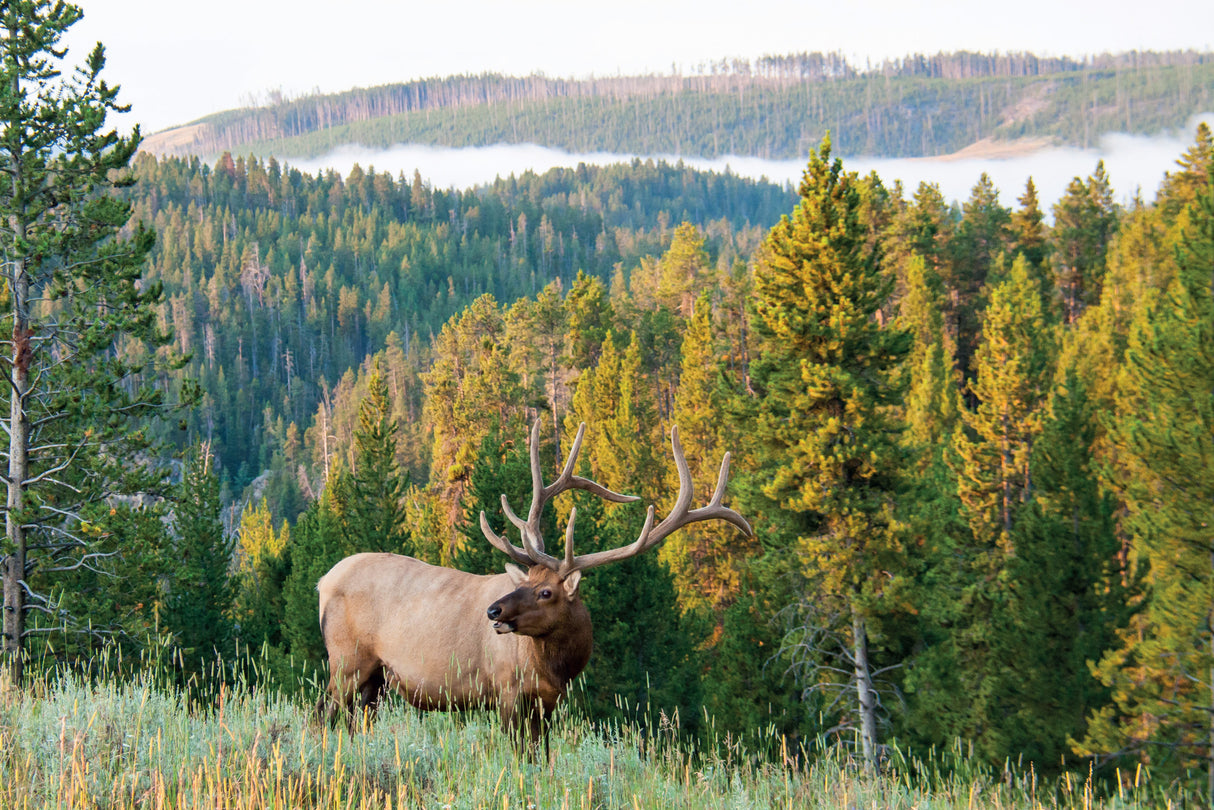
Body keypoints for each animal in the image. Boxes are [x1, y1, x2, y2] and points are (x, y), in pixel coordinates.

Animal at [315, 421, 751, 753]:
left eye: (546, 592)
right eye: (528, 582)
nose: (493, 611)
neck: (556, 668)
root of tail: (323, 582)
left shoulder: (548, 702)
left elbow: (540, 755)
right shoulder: (505, 689)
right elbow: (518, 754)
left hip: (375, 677)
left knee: (354, 720)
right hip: (346, 659)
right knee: (326, 713)